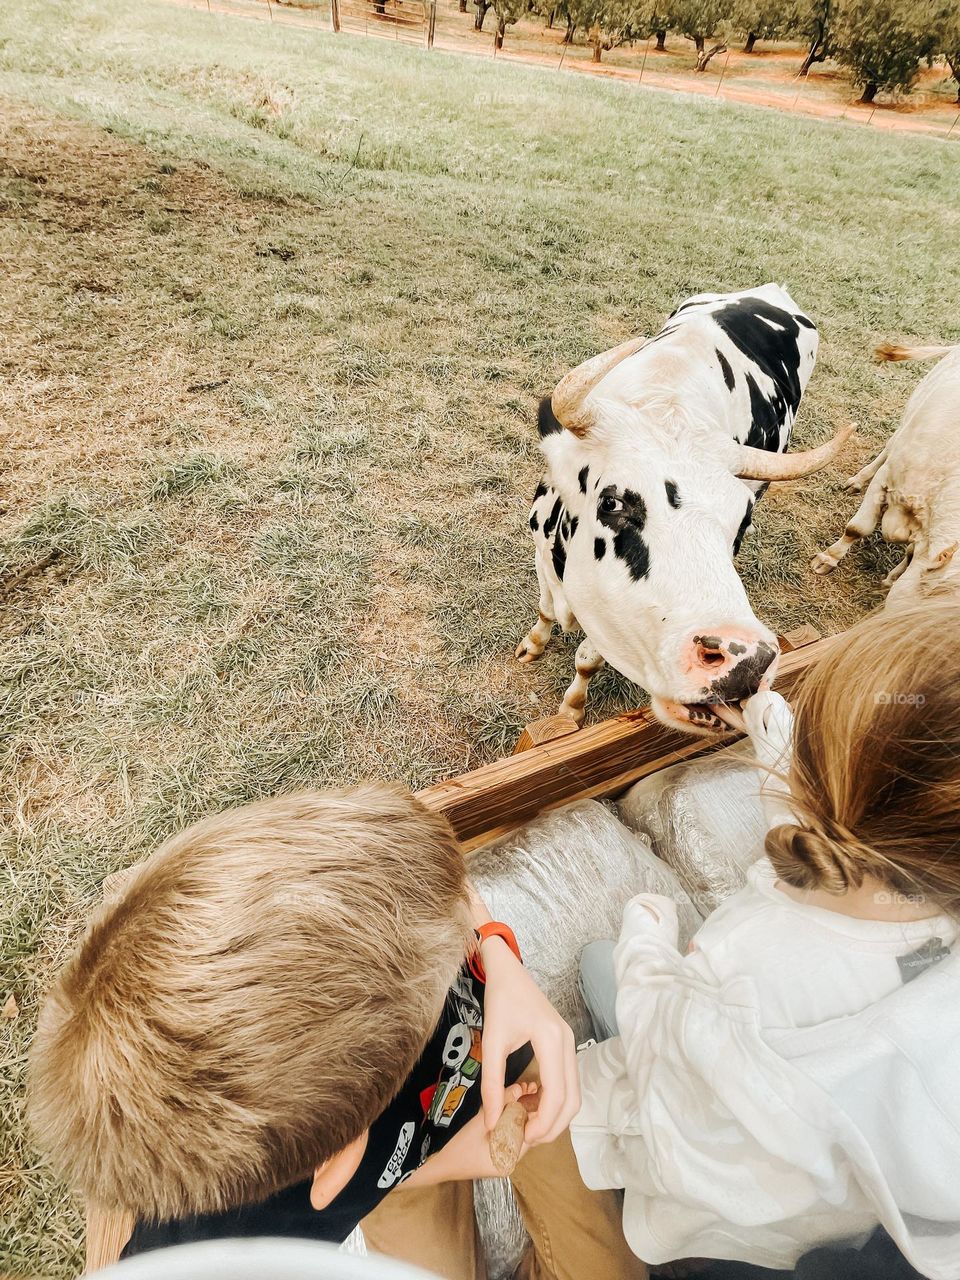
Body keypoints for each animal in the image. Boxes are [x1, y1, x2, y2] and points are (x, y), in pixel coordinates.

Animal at [519, 285, 849, 737]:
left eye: (740, 520)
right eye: (612, 502)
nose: (747, 663)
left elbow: (586, 659)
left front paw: (571, 709)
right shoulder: (540, 546)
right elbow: (545, 608)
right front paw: (533, 645)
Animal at [814, 343, 960, 606]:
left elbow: (911, 555)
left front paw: (891, 579)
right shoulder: (885, 479)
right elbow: (857, 528)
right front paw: (828, 559)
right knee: (890, 445)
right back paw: (857, 480)